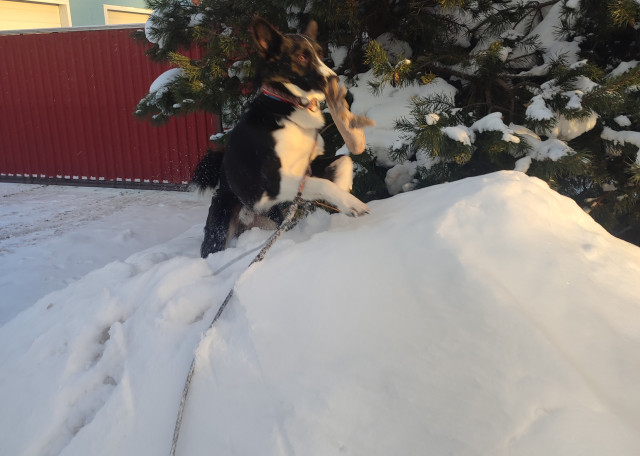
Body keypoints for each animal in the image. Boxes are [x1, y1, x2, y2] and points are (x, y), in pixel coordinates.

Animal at [193, 17, 369, 258]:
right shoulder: (273, 182)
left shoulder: (308, 166)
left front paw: (344, 191)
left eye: (319, 53)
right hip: (219, 232)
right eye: (301, 57)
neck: (287, 106)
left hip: (271, 220)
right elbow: (322, 183)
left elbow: (344, 160)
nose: (334, 79)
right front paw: (350, 203)